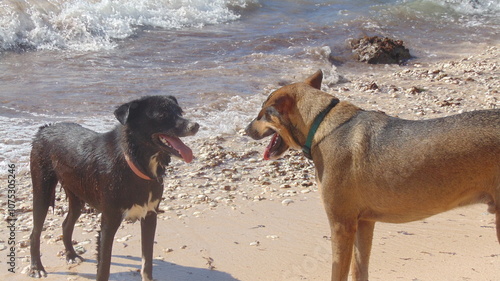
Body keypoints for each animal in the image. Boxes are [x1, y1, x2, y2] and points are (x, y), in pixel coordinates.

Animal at [29, 95, 199, 278]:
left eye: (180, 112)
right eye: (162, 114)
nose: (195, 125)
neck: (136, 164)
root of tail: (44, 129)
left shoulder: (150, 216)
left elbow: (147, 263)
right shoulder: (109, 222)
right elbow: (104, 267)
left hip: (77, 195)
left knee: (66, 224)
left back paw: (71, 255)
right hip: (42, 192)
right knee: (34, 234)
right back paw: (37, 268)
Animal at [244, 69, 498, 278]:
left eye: (261, 114)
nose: (245, 130)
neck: (321, 124)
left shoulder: (342, 226)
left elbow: (338, 273)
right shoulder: (364, 223)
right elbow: (360, 270)